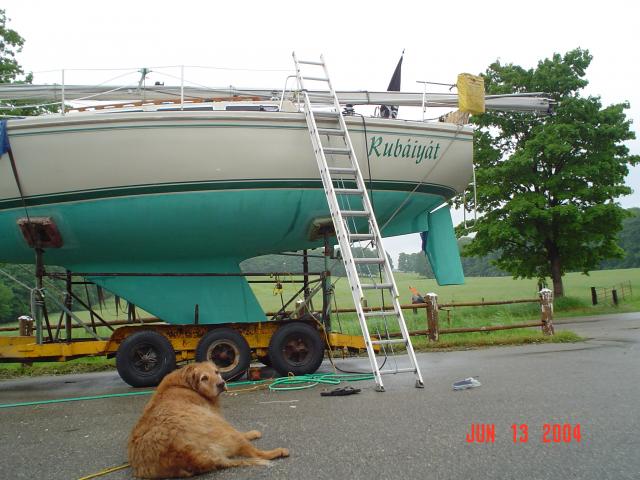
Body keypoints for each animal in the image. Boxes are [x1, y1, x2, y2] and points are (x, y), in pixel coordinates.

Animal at [128, 361, 289, 478]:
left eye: (216, 372)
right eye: (204, 378)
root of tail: (187, 454)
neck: (184, 384)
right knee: (255, 452)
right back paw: (278, 451)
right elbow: (243, 434)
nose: (221, 384)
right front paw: (251, 434)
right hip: (221, 427)